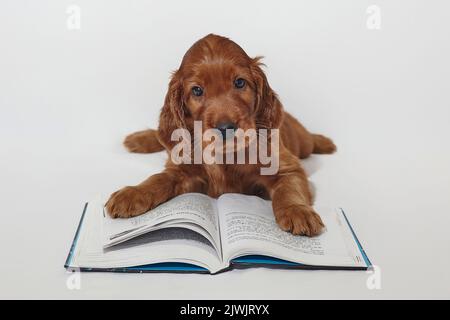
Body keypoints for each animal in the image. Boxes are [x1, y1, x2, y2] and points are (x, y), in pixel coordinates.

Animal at [105, 33, 334, 236]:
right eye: (197, 91)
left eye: (240, 83)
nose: (225, 127)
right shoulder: (182, 169)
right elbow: (158, 179)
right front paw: (132, 193)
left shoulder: (287, 168)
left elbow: (289, 189)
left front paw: (298, 212)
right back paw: (138, 139)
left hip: (301, 141)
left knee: (309, 140)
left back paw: (325, 142)